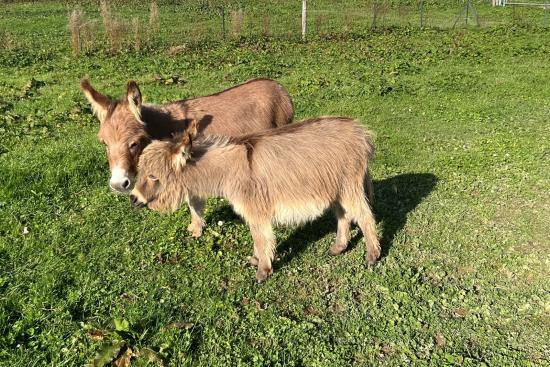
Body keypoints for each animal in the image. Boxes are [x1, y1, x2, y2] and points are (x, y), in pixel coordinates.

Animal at [132, 117, 382, 282]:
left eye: (153, 176)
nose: (134, 199)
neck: (230, 169)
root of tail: (360, 131)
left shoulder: (256, 210)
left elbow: (261, 238)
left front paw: (262, 271)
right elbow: (257, 238)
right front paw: (256, 260)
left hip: (349, 187)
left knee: (365, 217)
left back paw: (372, 256)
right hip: (336, 189)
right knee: (343, 216)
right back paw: (339, 247)